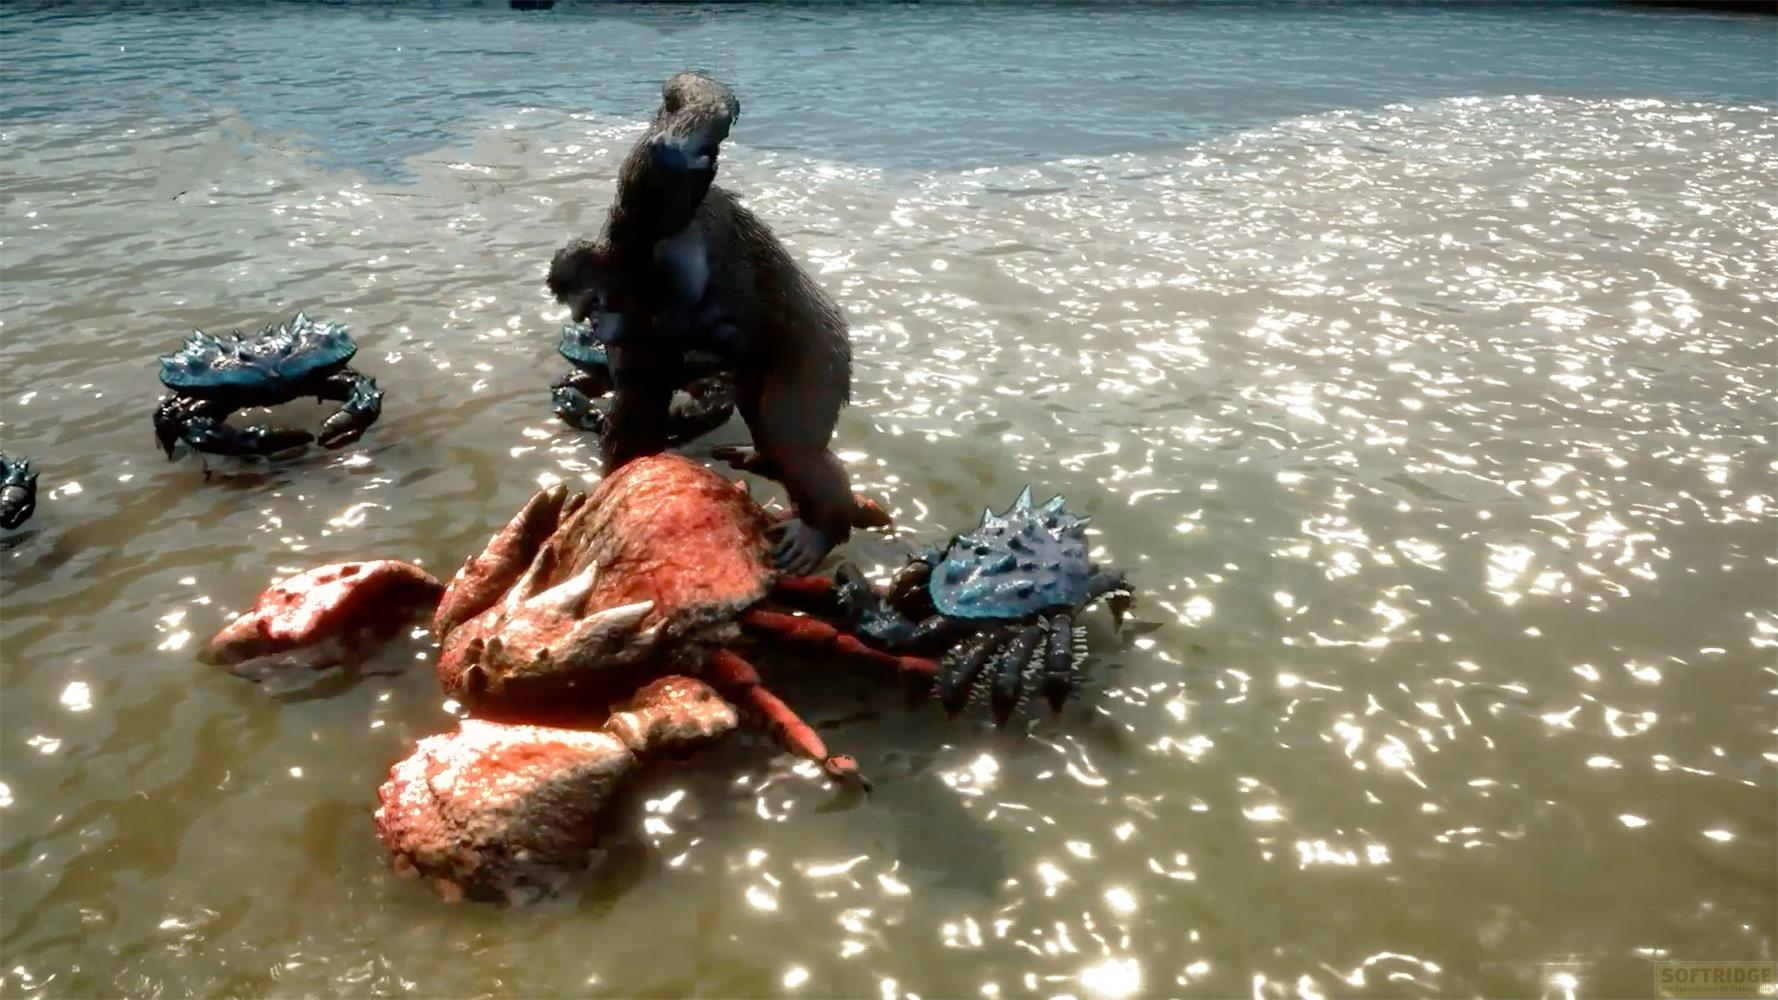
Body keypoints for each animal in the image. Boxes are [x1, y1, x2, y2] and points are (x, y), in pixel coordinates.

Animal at [546, 72, 859, 575]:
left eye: (586, 303)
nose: (587, 317)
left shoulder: (653, 232)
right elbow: (636, 405)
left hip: (820, 353)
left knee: (795, 441)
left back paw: (819, 529)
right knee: (763, 419)